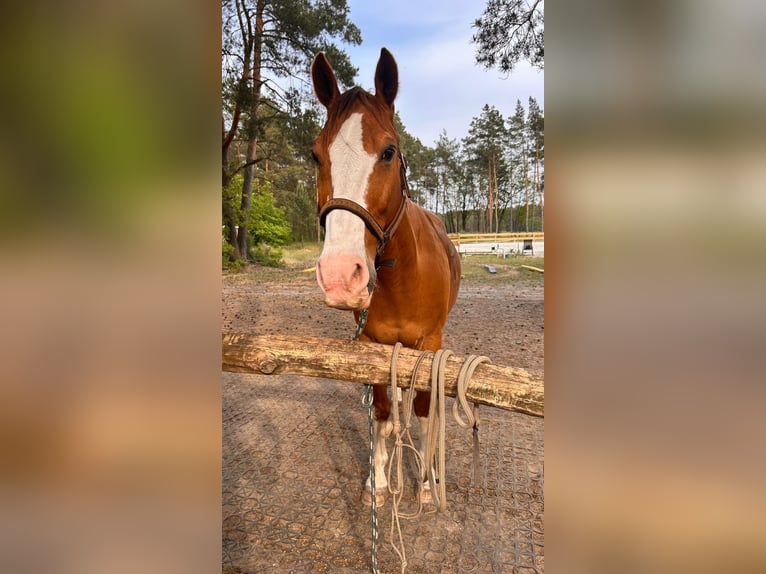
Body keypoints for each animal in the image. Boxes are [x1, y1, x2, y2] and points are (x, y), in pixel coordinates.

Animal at [310, 47, 461, 506]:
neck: (400, 280)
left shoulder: (430, 346)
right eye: (315, 155)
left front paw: (427, 482)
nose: (341, 275)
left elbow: (426, 412)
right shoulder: (372, 345)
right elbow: (379, 412)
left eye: (389, 152)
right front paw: (376, 481)